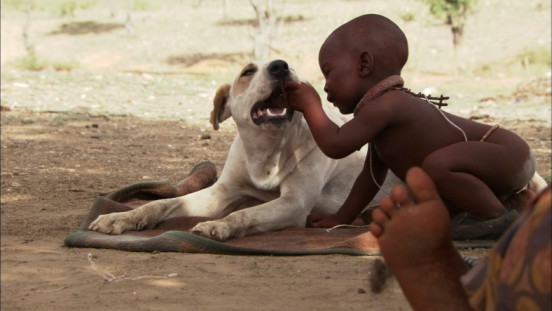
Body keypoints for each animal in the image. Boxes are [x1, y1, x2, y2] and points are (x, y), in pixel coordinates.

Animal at [89, 60, 396, 241]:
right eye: (248, 72)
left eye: (289, 65)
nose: (280, 66)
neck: (268, 151)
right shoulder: (222, 192)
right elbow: (159, 204)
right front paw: (120, 217)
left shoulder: (294, 203)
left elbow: (246, 214)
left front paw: (220, 226)